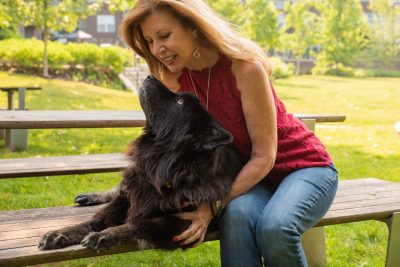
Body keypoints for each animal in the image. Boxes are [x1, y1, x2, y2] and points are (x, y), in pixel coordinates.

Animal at [38, 76, 244, 252]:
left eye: (179, 102)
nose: (150, 76)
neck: (160, 163)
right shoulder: (129, 198)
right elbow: (92, 222)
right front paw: (61, 233)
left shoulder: (180, 223)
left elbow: (137, 224)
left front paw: (105, 235)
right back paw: (92, 196)